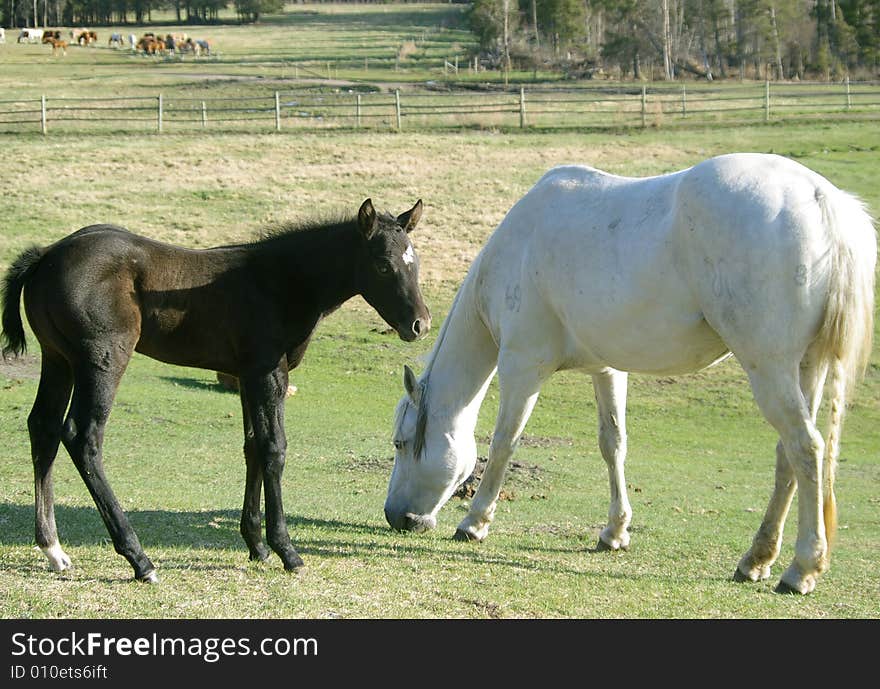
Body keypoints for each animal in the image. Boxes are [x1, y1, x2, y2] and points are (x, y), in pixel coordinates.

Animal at [1, 198, 432, 580]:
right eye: (382, 264)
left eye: (416, 262)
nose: (420, 324)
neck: (280, 280)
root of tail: (46, 256)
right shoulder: (269, 373)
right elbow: (274, 449)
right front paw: (286, 550)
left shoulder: (245, 377)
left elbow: (252, 446)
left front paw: (256, 545)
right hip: (102, 361)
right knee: (82, 436)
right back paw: (139, 559)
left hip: (58, 359)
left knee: (43, 428)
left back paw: (54, 550)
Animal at [388, 152, 876, 592]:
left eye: (400, 442)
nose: (395, 517)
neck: (517, 249)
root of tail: (821, 199)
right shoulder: (606, 369)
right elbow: (613, 445)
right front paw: (615, 532)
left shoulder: (523, 366)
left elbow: (505, 442)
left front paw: (474, 522)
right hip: (806, 369)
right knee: (788, 457)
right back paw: (757, 559)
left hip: (770, 369)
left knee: (806, 448)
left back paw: (800, 569)